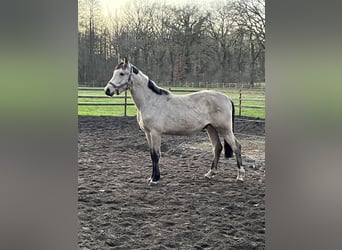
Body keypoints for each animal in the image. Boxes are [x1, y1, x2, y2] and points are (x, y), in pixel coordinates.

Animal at [103, 57, 244, 185]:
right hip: (211, 128)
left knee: (236, 146)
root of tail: (227, 98)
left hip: (224, 129)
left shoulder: (155, 133)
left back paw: (240, 176)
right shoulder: (148, 133)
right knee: (217, 148)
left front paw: (155, 179)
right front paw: (151, 177)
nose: (107, 90)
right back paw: (210, 173)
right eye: (114, 72)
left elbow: (156, 155)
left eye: (122, 73)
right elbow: (151, 154)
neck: (150, 100)